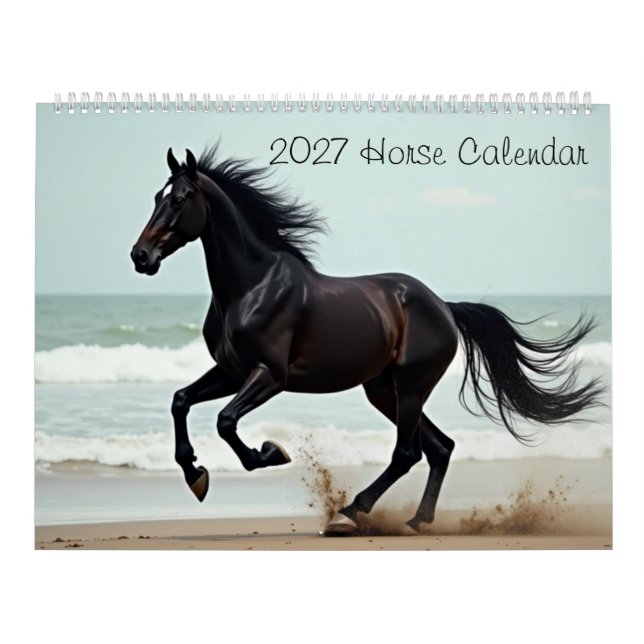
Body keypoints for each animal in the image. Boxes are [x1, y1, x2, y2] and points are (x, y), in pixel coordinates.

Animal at [130, 146, 602, 534]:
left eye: (179, 199)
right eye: (154, 197)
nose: (140, 256)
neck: (253, 286)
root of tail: (444, 307)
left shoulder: (269, 375)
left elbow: (226, 421)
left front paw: (270, 453)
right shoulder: (232, 371)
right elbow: (180, 401)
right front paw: (196, 475)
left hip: (410, 385)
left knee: (408, 452)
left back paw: (351, 513)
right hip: (383, 390)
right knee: (439, 447)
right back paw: (414, 520)